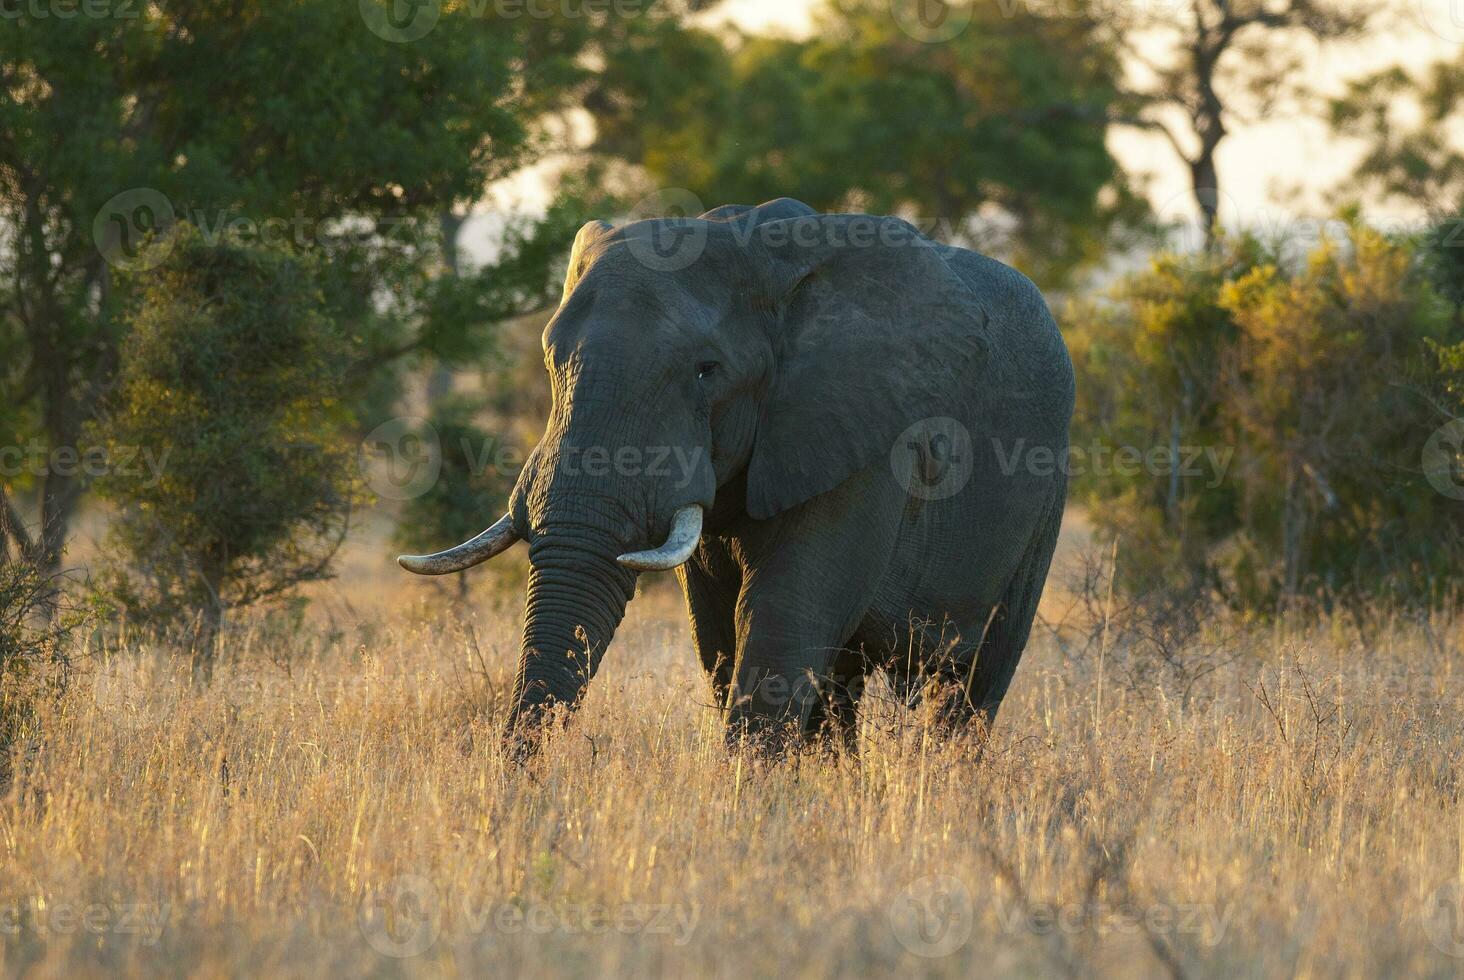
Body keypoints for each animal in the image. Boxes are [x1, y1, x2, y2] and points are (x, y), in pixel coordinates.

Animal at [401, 199, 1077, 750]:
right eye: (550, 359)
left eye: (707, 370)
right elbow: (720, 630)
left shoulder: (860, 428)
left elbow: (782, 615)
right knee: (843, 684)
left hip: (1047, 487)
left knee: (976, 679)